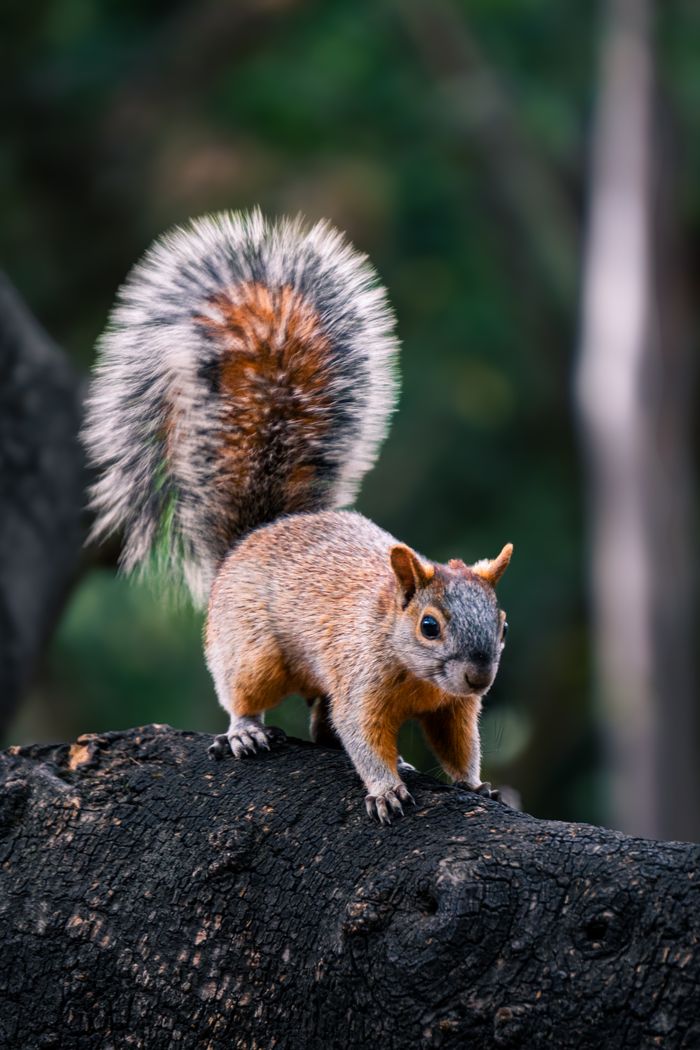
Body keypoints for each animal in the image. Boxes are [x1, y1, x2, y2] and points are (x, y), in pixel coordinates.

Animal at [83, 209, 513, 824]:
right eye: (429, 626)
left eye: (501, 622)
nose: (480, 676)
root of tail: (250, 539)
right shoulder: (359, 683)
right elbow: (362, 734)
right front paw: (384, 788)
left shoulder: (451, 707)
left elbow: (458, 745)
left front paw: (477, 785)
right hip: (253, 649)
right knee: (248, 693)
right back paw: (245, 731)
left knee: (320, 719)